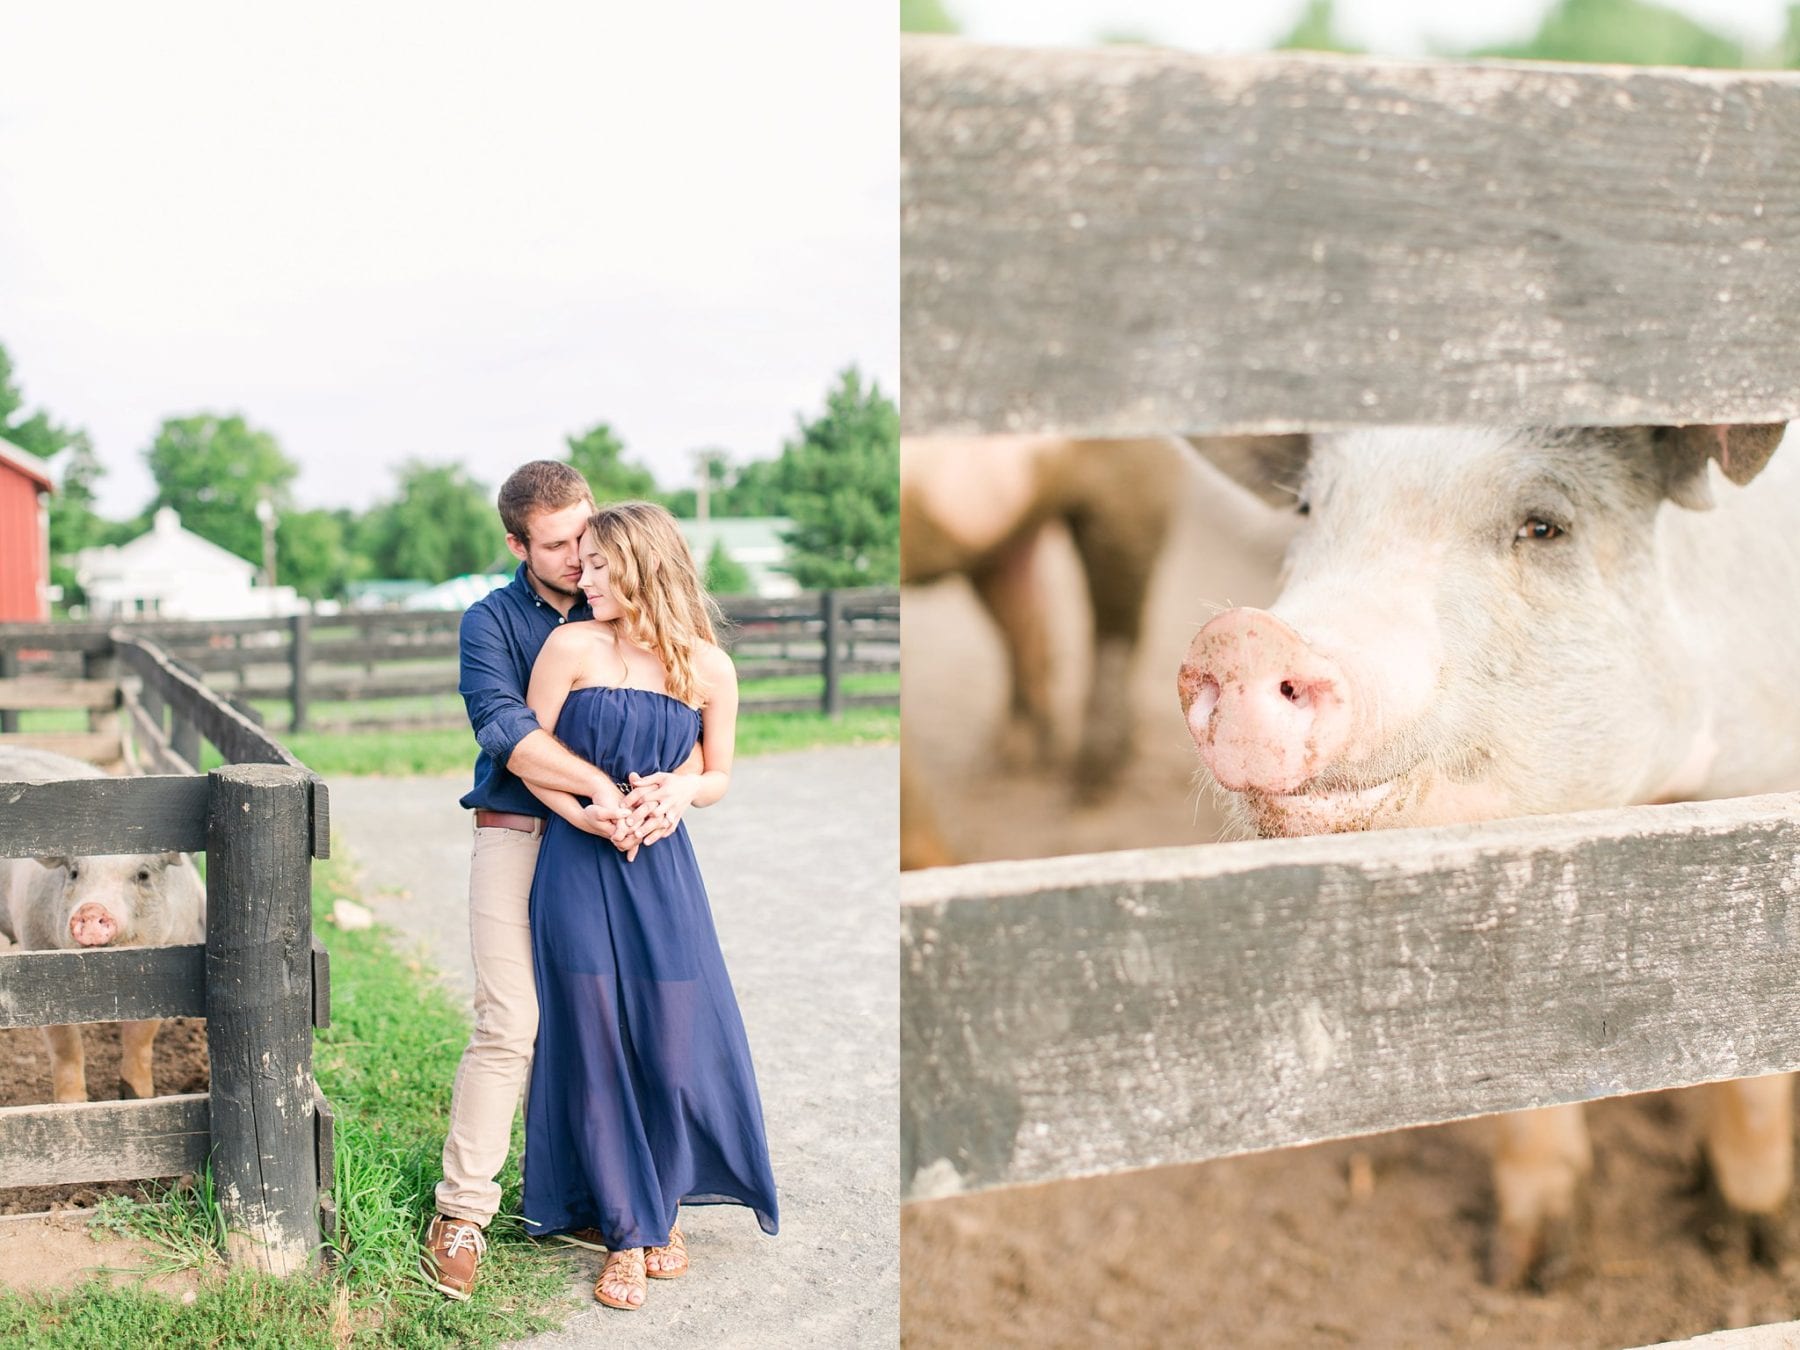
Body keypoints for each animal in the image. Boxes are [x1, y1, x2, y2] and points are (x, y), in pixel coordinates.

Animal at [0, 745, 206, 1101]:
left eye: (142, 875)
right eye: (73, 873)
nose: (91, 908)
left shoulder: (172, 958)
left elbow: (142, 1035)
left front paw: (139, 1098)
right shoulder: (34, 948)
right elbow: (65, 1042)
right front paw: (73, 1104)